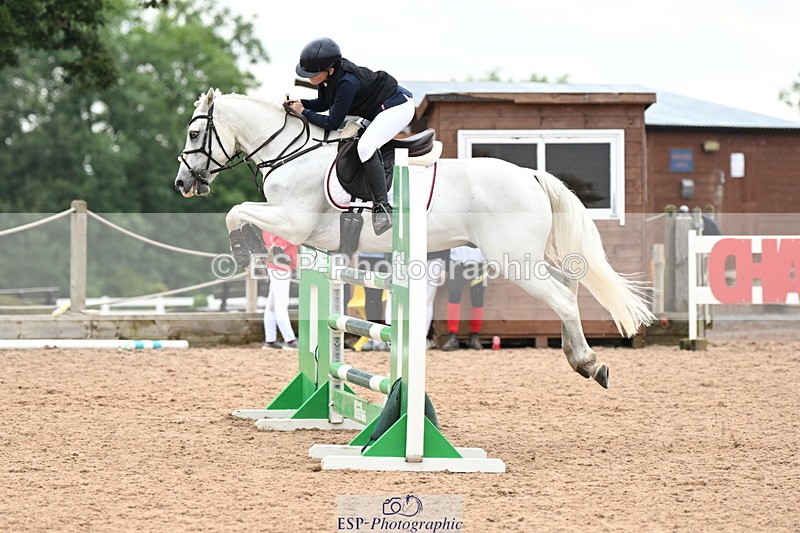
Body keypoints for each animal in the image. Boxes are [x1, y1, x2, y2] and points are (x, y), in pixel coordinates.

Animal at [174, 88, 654, 388]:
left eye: (195, 133)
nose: (182, 183)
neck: (293, 151)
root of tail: (531, 174)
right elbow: (241, 214)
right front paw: (252, 248)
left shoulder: (293, 222)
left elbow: (236, 212)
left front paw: (246, 250)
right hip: (528, 256)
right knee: (570, 287)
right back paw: (582, 358)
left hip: (512, 258)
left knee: (562, 298)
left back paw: (589, 363)